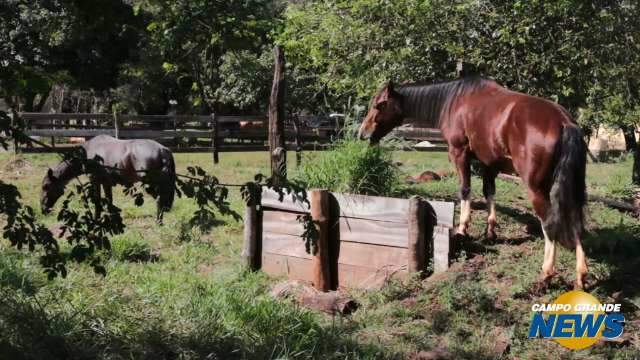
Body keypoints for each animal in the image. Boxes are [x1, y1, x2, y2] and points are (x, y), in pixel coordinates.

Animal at [41, 135, 176, 222]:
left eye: (45, 186)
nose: (43, 209)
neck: (88, 153)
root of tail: (163, 149)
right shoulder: (106, 182)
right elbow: (109, 200)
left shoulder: (95, 180)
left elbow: (97, 201)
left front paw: (96, 219)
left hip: (150, 184)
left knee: (160, 199)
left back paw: (158, 221)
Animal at [358, 78, 588, 290]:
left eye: (379, 104)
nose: (362, 133)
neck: (454, 101)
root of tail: (564, 123)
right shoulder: (489, 162)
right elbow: (489, 192)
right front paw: (490, 232)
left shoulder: (459, 153)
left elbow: (465, 189)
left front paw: (462, 228)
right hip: (572, 187)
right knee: (575, 221)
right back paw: (581, 276)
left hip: (536, 187)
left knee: (549, 223)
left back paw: (546, 274)